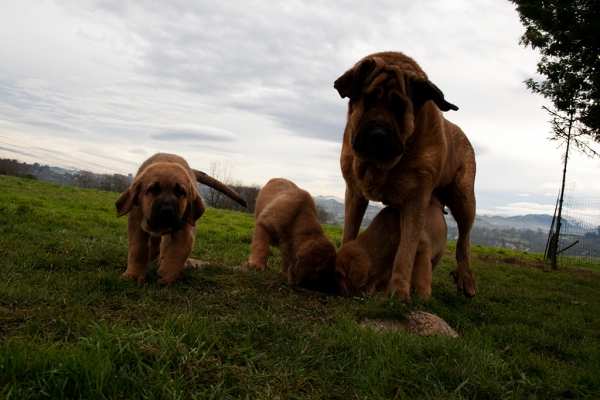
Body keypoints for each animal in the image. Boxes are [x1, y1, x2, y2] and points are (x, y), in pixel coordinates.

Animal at [116, 152, 247, 286]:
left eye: (180, 192)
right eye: (153, 189)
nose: (167, 211)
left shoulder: (185, 227)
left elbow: (179, 249)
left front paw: (167, 274)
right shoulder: (136, 222)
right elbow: (138, 249)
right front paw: (133, 275)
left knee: (165, 245)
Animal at [336, 50, 476, 300]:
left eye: (400, 107)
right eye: (368, 100)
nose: (377, 134)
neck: (384, 166)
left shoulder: (416, 201)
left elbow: (405, 251)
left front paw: (399, 293)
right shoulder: (354, 193)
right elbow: (349, 232)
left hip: (464, 198)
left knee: (464, 240)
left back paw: (465, 278)